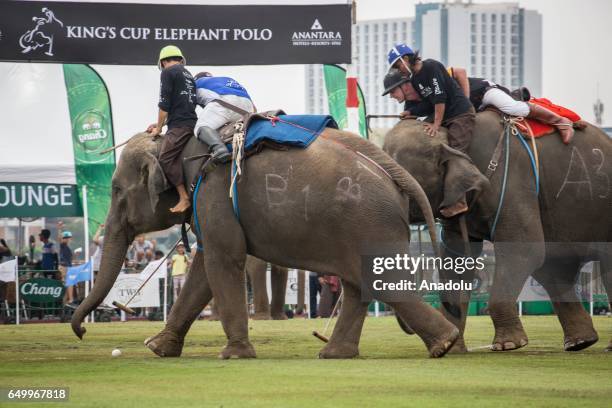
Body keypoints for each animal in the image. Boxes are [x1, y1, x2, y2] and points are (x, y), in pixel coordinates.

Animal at [71, 129, 460, 358]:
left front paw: (234, 355)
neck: (177, 145)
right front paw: (158, 348)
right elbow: (203, 270)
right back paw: (334, 354)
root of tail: (399, 181)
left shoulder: (213, 193)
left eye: (116, 190)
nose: (83, 329)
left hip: (370, 226)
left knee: (379, 284)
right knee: (358, 287)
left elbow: (222, 261)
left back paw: (445, 344)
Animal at [384, 113, 608, 352]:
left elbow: (524, 249)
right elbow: (457, 260)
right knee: (554, 270)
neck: (451, 138)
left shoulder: (511, 183)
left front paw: (508, 345)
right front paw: (453, 348)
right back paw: (580, 342)